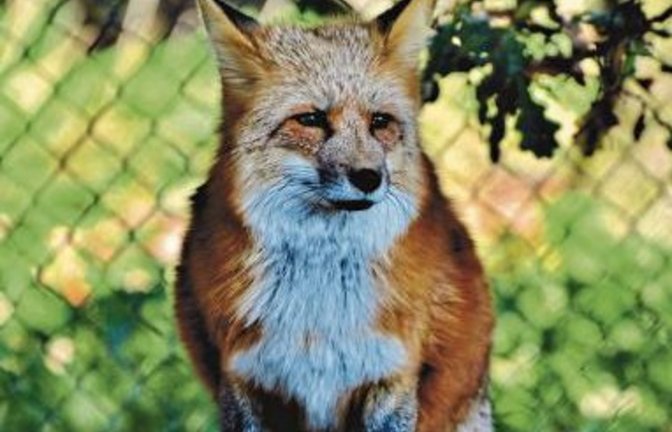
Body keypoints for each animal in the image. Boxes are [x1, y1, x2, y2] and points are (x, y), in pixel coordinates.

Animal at [175, 0, 494, 430]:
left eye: (380, 123)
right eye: (310, 120)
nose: (369, 177)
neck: (320, 309)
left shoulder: (391, 378)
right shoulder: (243, 380)